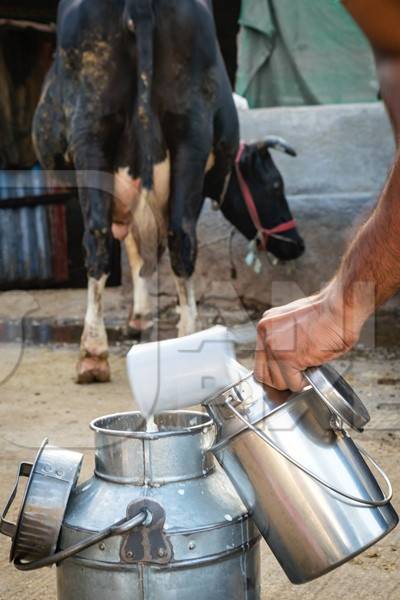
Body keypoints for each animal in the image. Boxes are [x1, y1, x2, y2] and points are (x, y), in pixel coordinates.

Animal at [33, 1, 304, 384]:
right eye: (276, 185)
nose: (297, 244)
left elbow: (136, 248)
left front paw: (139, 316)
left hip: (93, 128)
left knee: (109, 238)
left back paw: (95, 353)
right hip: (186, 131)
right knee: (176, 235)